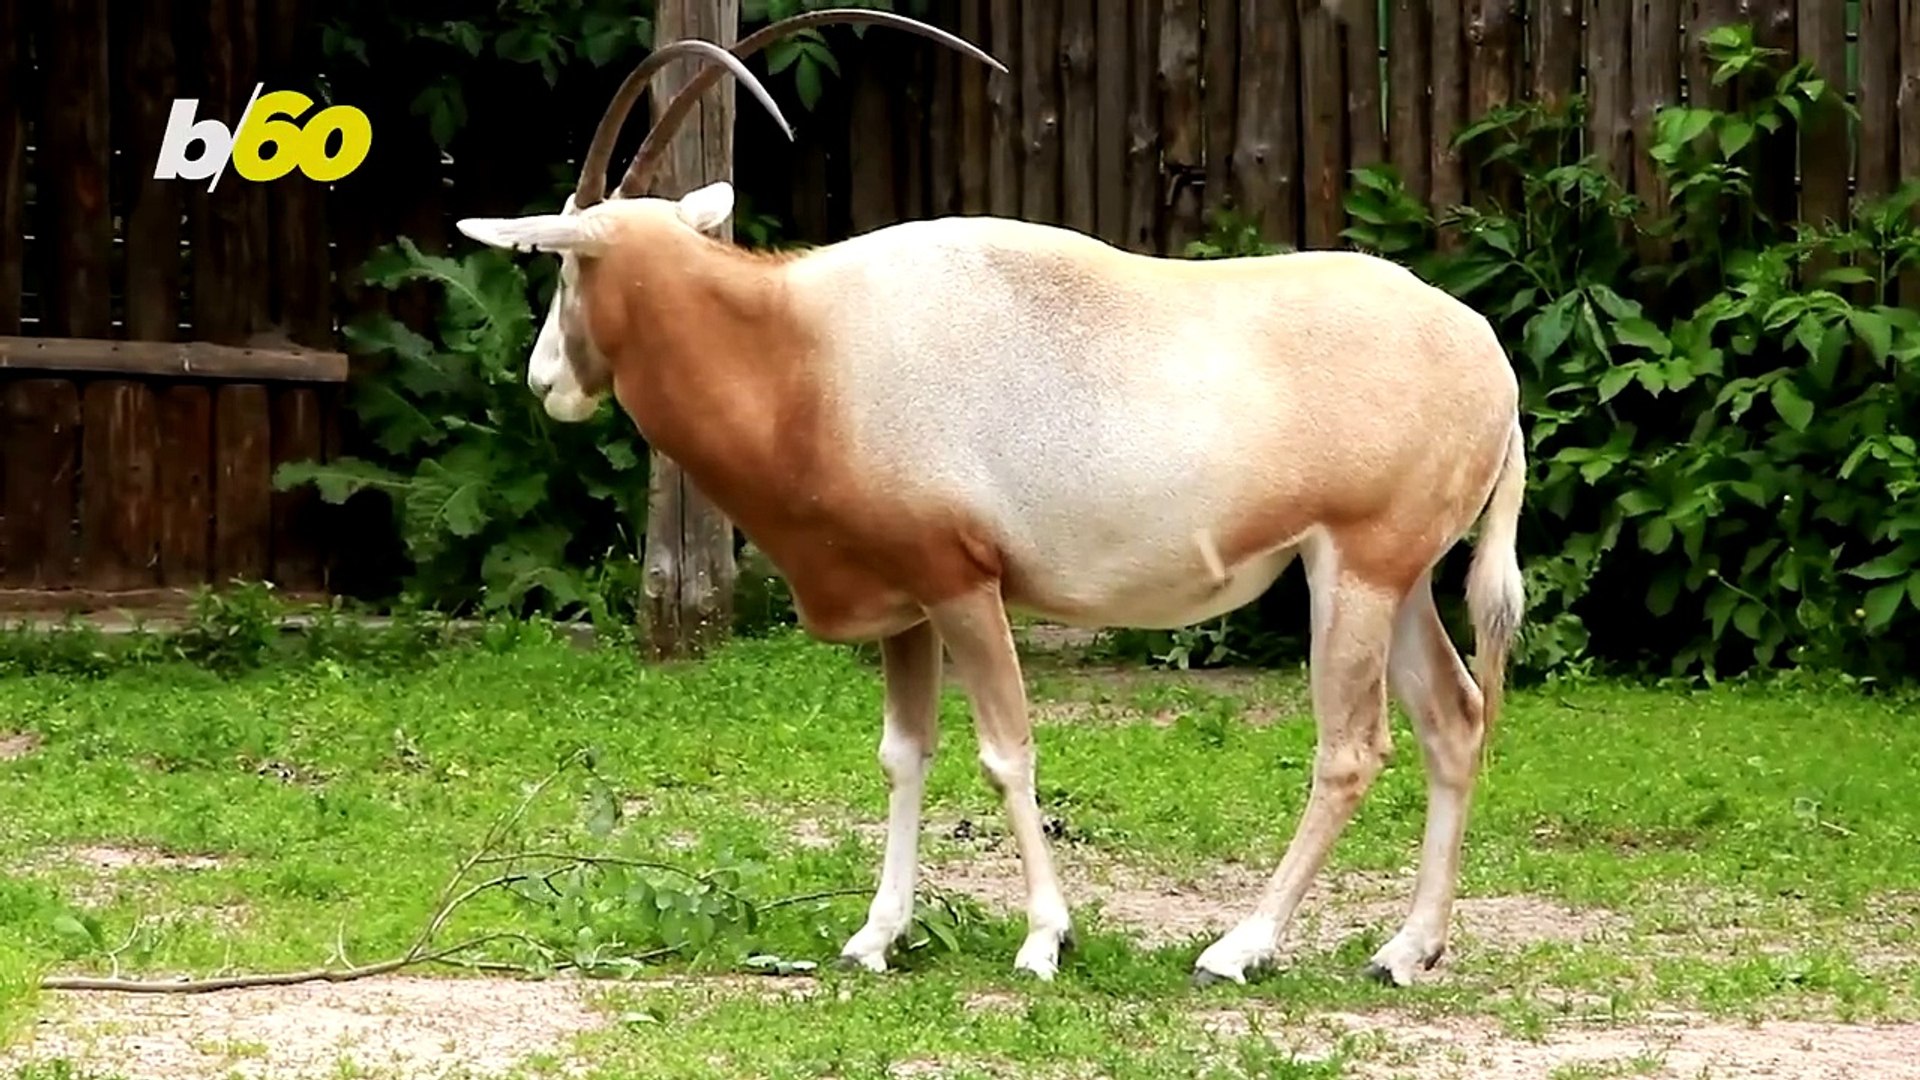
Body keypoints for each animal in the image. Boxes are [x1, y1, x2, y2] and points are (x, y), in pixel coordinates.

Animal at [455, 10, 1527, 988]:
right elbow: (904, 752)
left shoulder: (964, 585)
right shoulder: (907, 604)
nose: (544, 380)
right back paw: (1408, 950)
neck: (803, 350)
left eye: (567, 265)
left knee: (1350, 749)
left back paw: (1241, 948)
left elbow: (1006, 751)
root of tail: (1491, 360)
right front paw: (876, 937)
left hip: (1356, 571)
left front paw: (1045, 940)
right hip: (1396, 580)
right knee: (1454, 720)